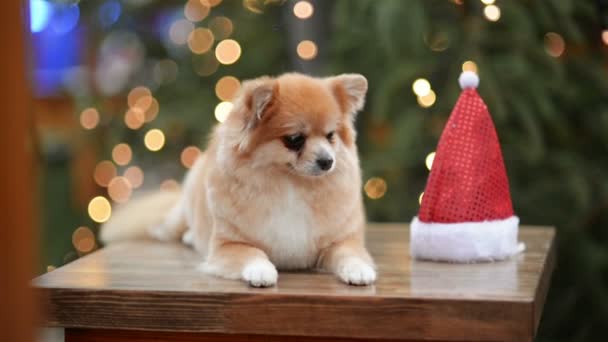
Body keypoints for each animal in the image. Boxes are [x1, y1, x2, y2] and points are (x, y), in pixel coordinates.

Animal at [101, 73, 376, 288]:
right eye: (295, 139)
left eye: (331, 136)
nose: (328, 160)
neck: (290, 185)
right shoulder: (228, 245)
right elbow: (252, 252)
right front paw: (261, 270)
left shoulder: (340, 240)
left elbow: (349, 254)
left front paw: (360, 269)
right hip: (180, 214)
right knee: (168, 229)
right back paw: (188, 236)